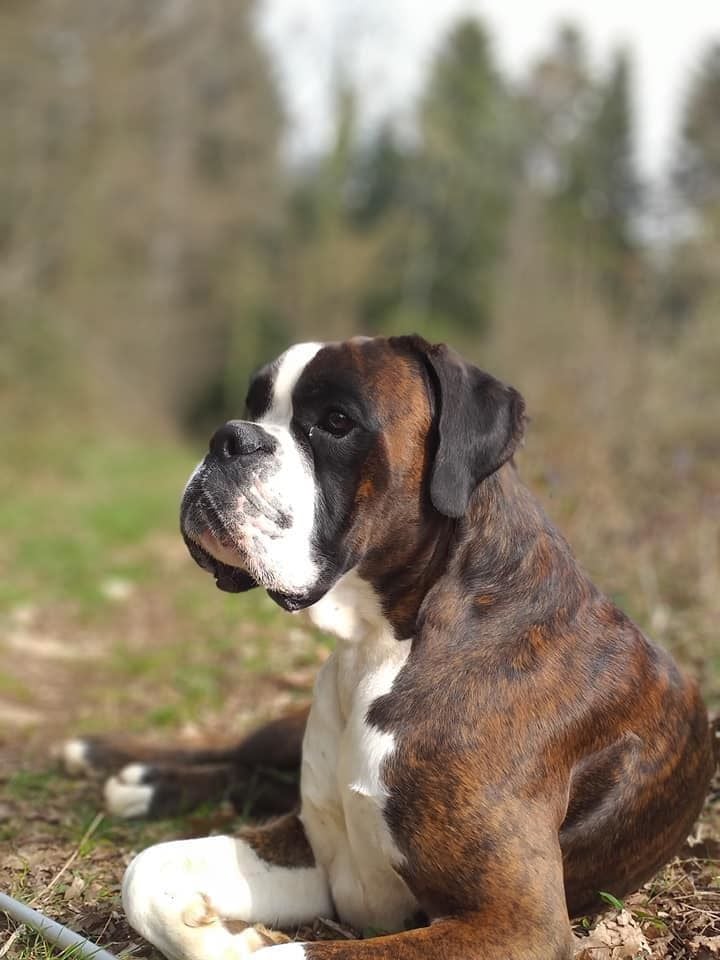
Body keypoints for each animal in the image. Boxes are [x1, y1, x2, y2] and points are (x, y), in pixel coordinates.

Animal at [63, 336, 714, 959]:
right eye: (254, 406)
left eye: (336, 421)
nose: (229, 437)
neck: (380, 642)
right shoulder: (318, 851)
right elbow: (147, 872)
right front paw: (226, 932)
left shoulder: (516, 920)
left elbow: (273, 950)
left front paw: (238, 939)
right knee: (241, 754)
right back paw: (117, 764)